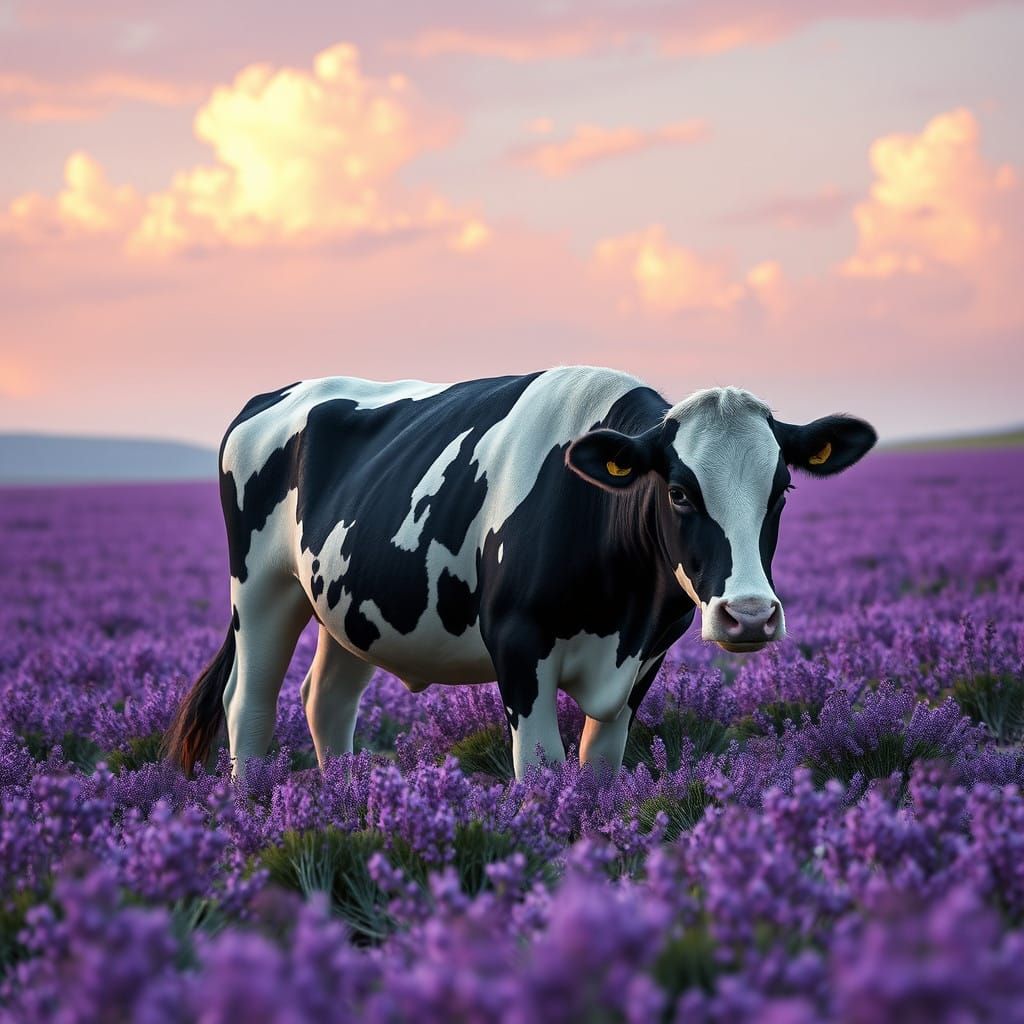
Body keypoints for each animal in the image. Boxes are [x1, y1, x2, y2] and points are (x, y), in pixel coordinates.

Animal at [165, 366, 876, 780]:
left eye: (782, 489)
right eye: (678, 491)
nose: (749, 615)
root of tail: (272, 395)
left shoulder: (644, 658)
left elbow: (598, 769)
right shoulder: (517, 643)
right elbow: (540, 774)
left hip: (351, 606)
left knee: (326, 702)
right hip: (262, 591)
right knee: (249, 705)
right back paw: (251, 813)